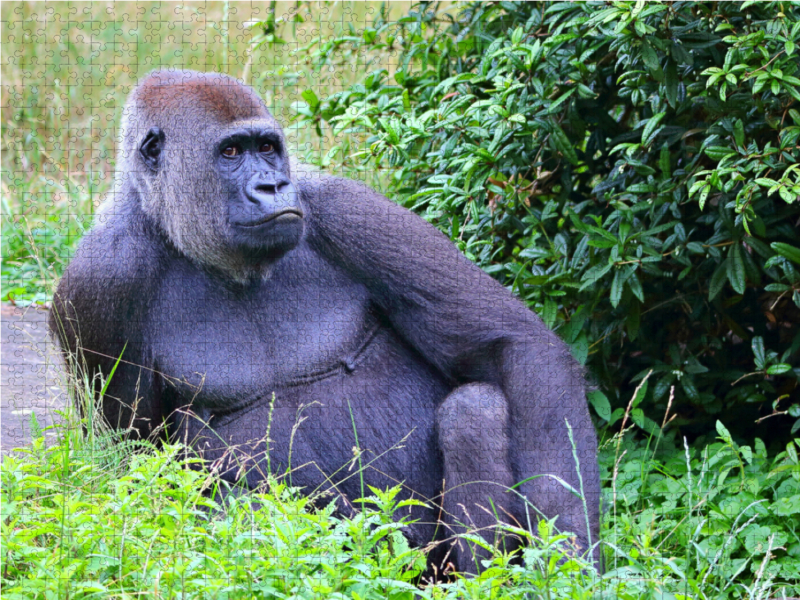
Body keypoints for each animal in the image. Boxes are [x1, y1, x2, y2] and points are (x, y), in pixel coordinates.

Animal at [50, 68, 596, 576]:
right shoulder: (100, 279)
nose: (272, 185)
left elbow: (509, 345)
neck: (170, 225)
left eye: (268, 148)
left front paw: (566, 553)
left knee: (473, 410)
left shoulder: (344, 206)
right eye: (230, 153)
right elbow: (135, 465)